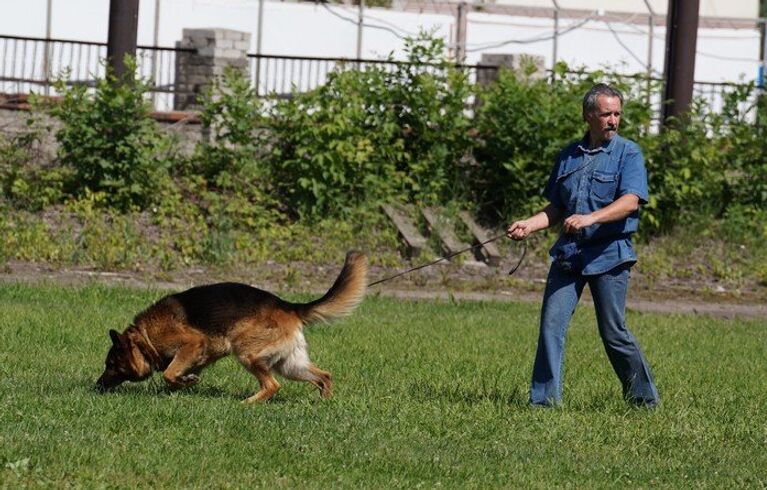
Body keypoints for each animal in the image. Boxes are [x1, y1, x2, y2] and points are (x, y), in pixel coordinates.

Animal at [97, 253, 368, 402]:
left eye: (111, 364)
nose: (97, 385)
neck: (145, 338)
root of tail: (288, 306)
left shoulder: (192, 343)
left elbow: (169, 374)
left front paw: (186, 382)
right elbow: (175, 375)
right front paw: (185, 382)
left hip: (247, 353)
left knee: (273, 385)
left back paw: (247, 403)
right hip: (290, 365)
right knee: (324, 376)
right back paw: (323, 404)